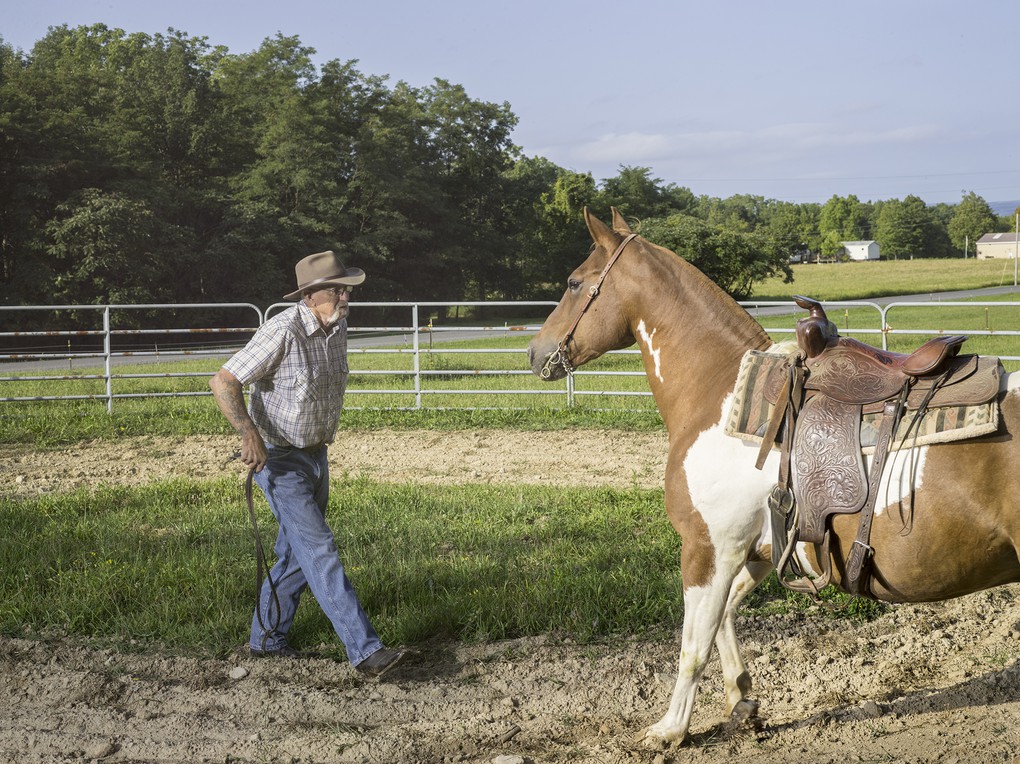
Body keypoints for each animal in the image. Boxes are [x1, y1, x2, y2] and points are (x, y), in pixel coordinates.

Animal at [526, 206, 1020, 742]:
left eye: (575, 282)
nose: (535, 353)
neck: (723, 396)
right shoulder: (759, 547)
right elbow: (724, 616)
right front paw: (742, 700)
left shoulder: (707, 548)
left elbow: (692, 645)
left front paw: (670, 729)